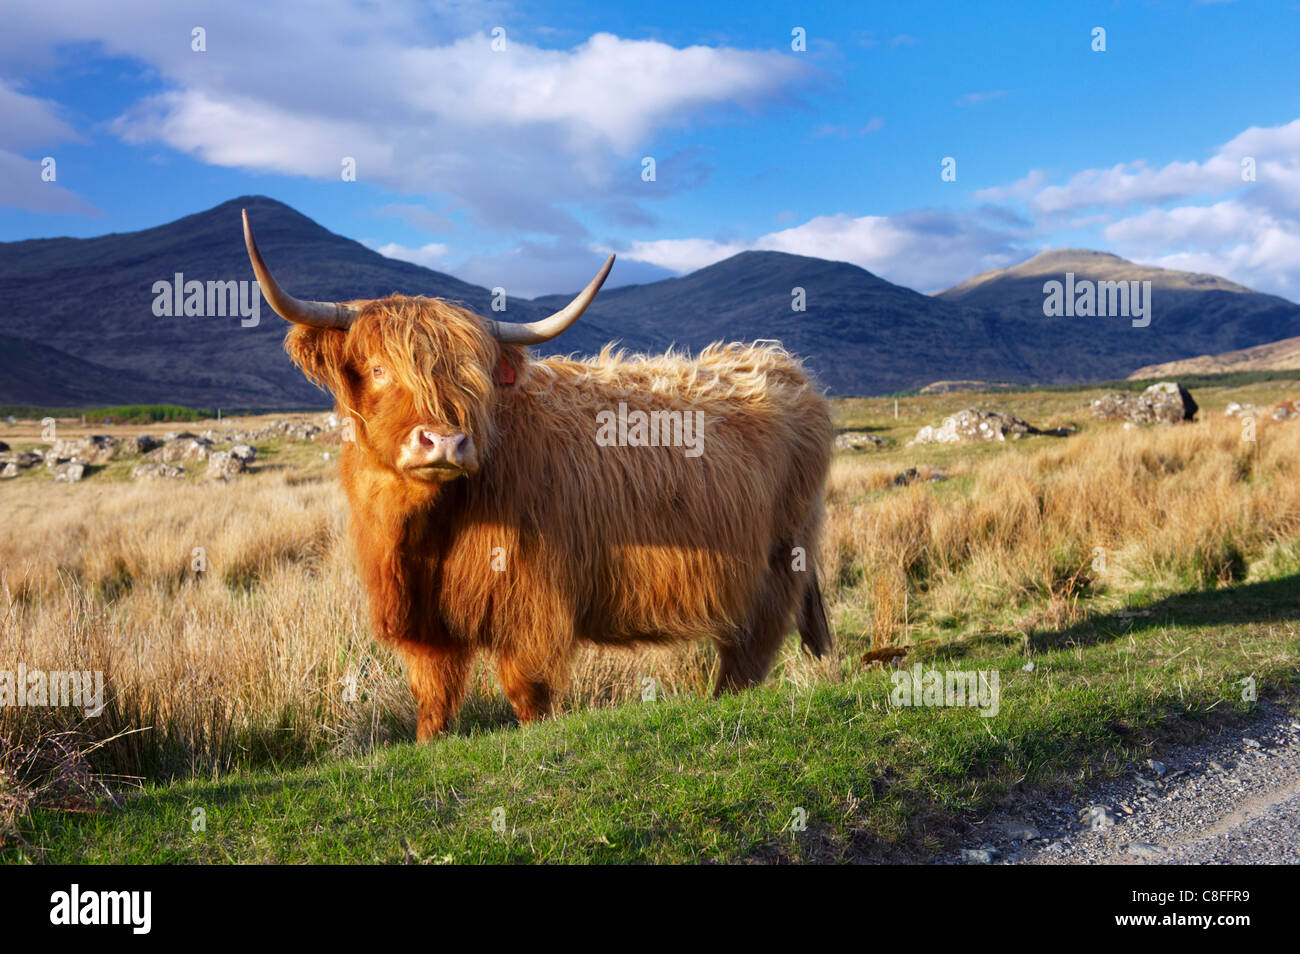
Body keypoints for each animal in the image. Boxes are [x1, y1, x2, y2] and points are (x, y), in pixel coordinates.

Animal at [242, 209, 834, 740]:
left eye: (476, 377)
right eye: (379, 369)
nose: (446, 441)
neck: (425, 529)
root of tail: (782, 367)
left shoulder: (533, 602)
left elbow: (527, 692)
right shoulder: (424, 621)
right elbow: (432, 699)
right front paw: (429, 739)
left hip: (776, 564)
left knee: (748, 656)